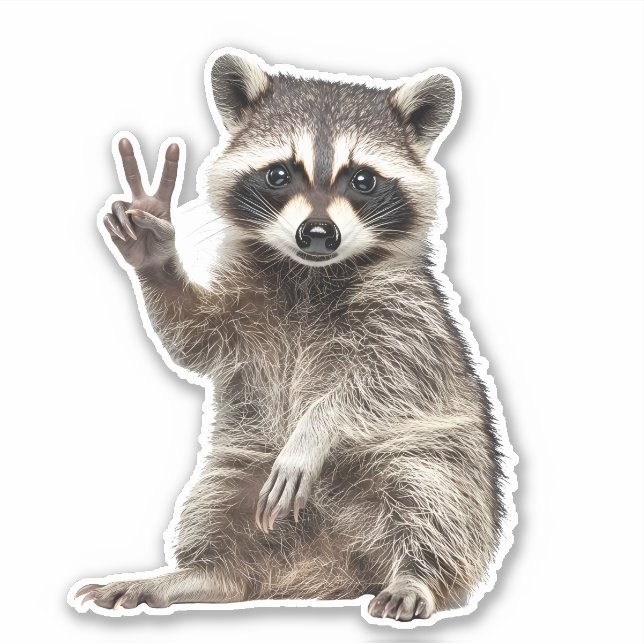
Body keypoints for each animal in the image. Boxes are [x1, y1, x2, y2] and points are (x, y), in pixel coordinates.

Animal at [73, 50, 515, 625]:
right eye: (280, 174)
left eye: (363, 180)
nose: (319, 234)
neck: (308, 272)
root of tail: (330, 565)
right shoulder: (244, 306)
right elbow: (195, 339)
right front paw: (156, 254)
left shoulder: (411, 315)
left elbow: (387, 382)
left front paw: (316, 427)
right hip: (241, 459)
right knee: (216, 504)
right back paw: (202, 574)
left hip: (446, 457)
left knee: (434, 495)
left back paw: (417, 574)